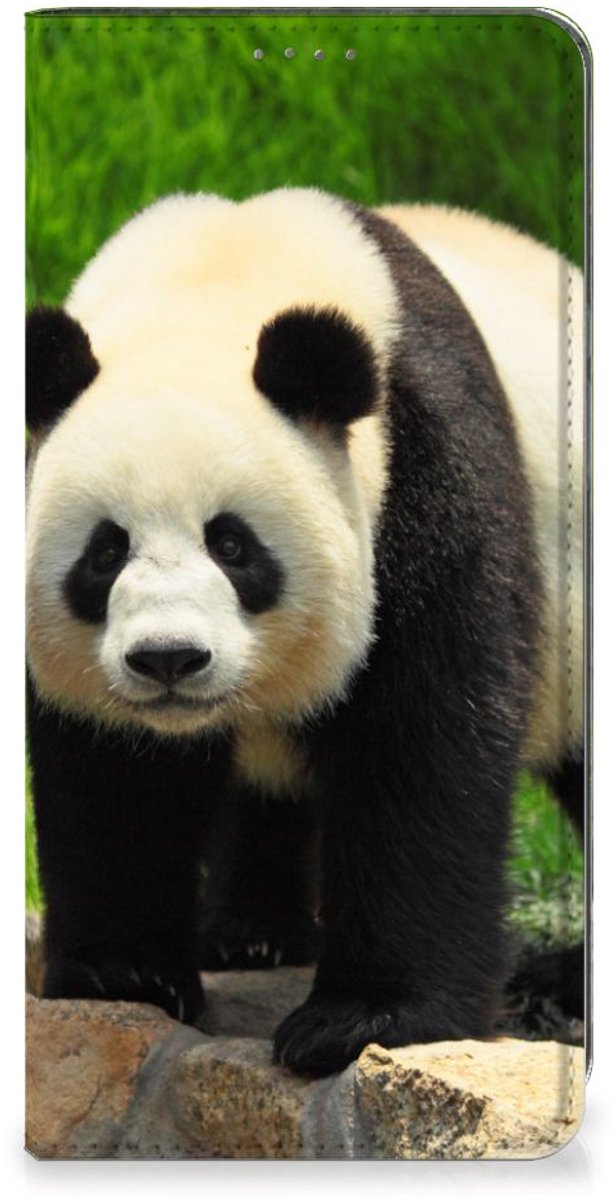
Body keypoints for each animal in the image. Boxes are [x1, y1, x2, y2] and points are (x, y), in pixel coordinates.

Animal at [26, 188, 584, 1077]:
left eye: (232, 545)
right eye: (105, 552)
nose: (169, 660)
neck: (216, 279)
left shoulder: (425, 469)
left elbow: (421, 741)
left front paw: (363, 1019)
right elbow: (111, 771)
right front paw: (125, 975)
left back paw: (560, 981)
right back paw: (250, 933)